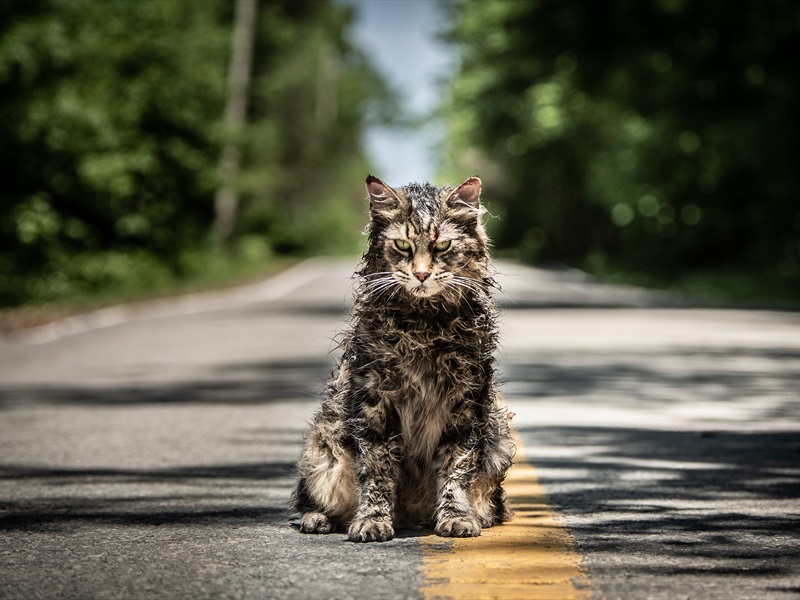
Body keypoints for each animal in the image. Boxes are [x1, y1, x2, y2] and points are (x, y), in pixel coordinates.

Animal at [290, 175, 516, 544]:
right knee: (311, 499)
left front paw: (456, 517)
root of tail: (411, 515)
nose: (421, 275)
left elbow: (456, 469)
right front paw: (372, 521)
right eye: (402, 245)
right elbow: (377, 471)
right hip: (323, 445)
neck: (423, 326)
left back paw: (474, 516)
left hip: (499, 439)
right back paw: (318, 519)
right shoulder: (374, 403)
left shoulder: (465, 404)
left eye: (442, 247)